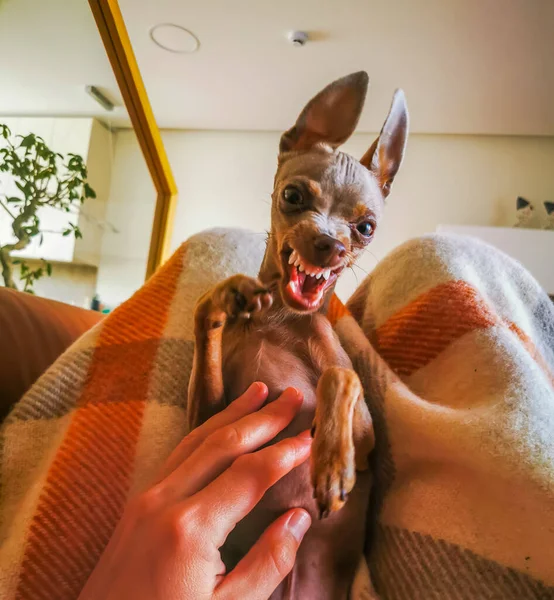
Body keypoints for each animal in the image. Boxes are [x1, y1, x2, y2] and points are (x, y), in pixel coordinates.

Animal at [188, 72, 408, 596]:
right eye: (293, 197)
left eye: (366, 227)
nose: (331, 244)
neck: (281, 320)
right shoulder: (205, 417)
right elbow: (204, 308)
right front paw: (231, 293)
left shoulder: (368, 442)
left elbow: (340, 377)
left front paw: (330, 462)